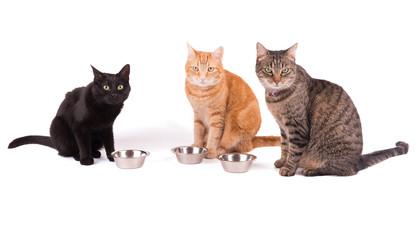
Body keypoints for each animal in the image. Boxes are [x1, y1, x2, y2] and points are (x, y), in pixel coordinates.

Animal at [255, 42, 408, 175]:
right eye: (268, 70)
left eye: (285, 71)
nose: (276, 81)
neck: (276, 99)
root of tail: (357, 160)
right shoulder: (283, 127)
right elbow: (284, 145)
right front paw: (282, 161)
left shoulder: (297, 127)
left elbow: (294, 150)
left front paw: (288, 168)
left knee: (345, 170)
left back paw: (312, 171)